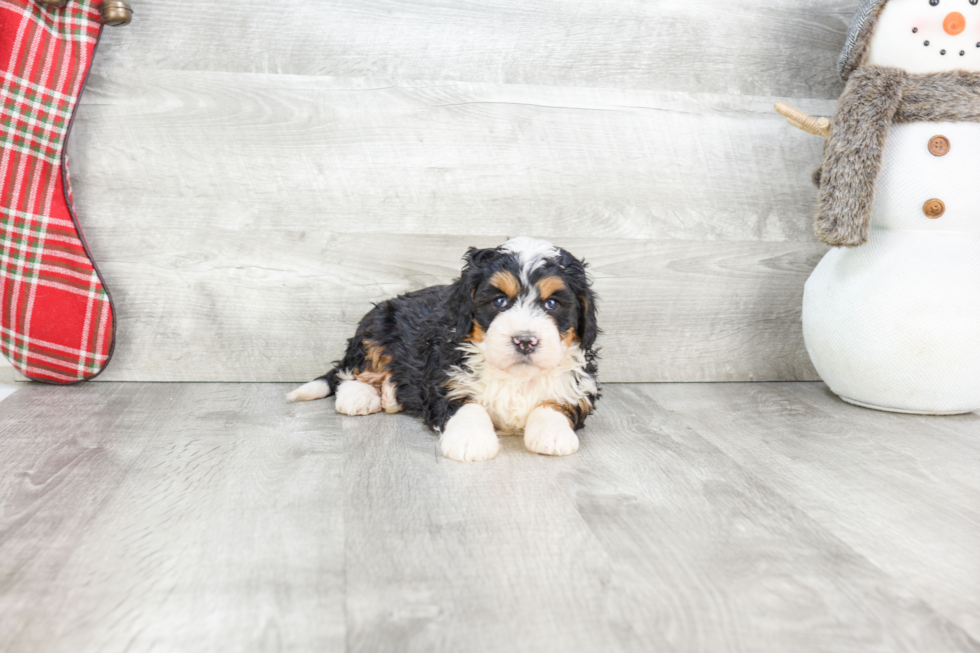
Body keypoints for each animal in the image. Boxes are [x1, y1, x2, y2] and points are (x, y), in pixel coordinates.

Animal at [288, 237, 600, 460]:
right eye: (499, 301)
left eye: (552, 304)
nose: (525, 340)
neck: (514, 376)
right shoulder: (444, 379)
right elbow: (467, 405)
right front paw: (471, 440)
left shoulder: (578, 384)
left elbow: (556, 403)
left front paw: (552, 434)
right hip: (376, 327)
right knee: (353, 370)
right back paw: (360, 396)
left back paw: (392, 395)